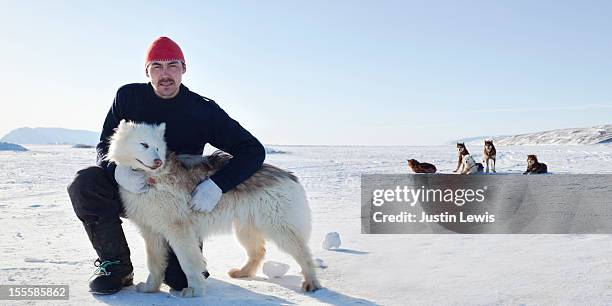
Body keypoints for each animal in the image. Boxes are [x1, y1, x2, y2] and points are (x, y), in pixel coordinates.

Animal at [104, 120, 320, 298]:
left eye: (158, 147)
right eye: (144, 145)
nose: (158, 161)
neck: (152, 178)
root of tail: (288, 175)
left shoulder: (179, 230)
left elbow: (189, 262)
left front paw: (195, 290)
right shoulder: (151, 231)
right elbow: (155, 263)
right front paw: (151, 288)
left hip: (280, 228)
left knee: (304, 254)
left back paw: (311, 282)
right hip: (245, 229)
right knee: (258, 251)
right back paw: (242, 272)